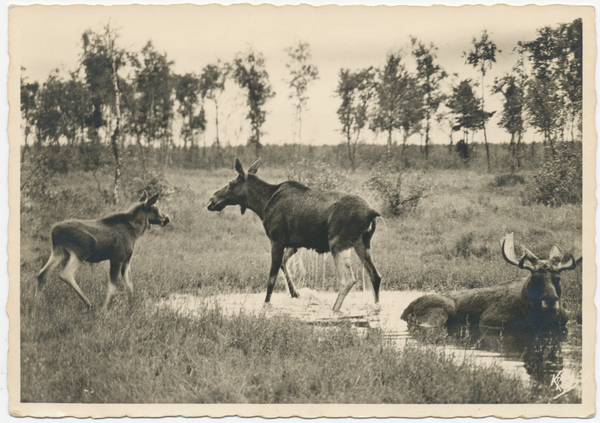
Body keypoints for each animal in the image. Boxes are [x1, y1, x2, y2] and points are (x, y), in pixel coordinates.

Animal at [36, 192, 170, 312]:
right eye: (155, 208)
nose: (167, 218)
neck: (135, 232)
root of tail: (54, 231)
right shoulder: (117, 258)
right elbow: (113, 286)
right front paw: (105, 310)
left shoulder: (126, 260)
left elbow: (130, 285)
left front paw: (132, 309)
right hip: (80, 253)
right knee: (65, 274)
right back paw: (89, 304)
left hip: (59, 252)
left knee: (42, 274)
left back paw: (38, 303)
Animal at [209, 158, 382, 312]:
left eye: (230, 184)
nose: (212, 199)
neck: (262, 205)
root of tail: (372, 212)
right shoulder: (294, 244)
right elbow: (283, 265)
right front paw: (295, 293)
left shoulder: (276, 240)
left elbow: (271, 278)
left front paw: (266, 305)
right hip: (362, 243)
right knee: (375, 275)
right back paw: (376, 307)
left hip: (338, 243)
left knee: (348, 280)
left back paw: (334, 310)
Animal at [400, 234, 580, 336]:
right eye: (535, 278)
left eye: (558, 278)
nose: (550, 301)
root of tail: (405, 310)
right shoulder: (489, 321)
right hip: (440, 311)